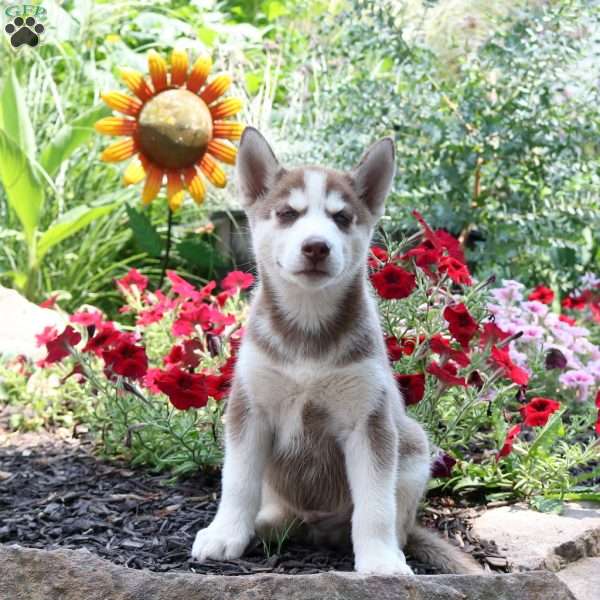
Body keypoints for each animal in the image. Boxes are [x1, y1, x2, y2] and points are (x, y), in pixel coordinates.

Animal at [192, 127, 482, 576]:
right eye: (288, 214)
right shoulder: (250, 409)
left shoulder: (370, 420)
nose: (316, 246)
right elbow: (237, 482)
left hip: (413, 446)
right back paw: (265, 525)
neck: (307, 328)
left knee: (393, 520)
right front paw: (225, 534)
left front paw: (380, 560)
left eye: (341, 218)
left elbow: (375, 504)